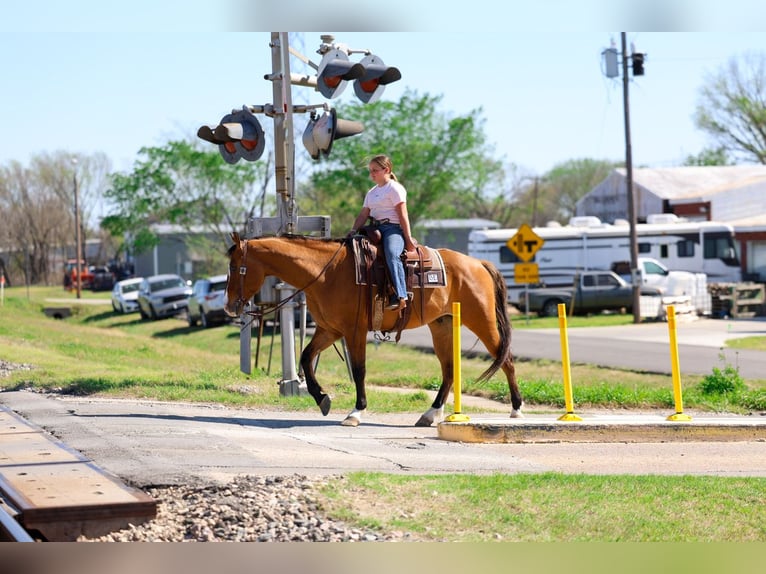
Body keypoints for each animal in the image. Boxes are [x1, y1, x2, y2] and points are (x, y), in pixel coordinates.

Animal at [224, 232, 523, 427]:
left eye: (235, 266)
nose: (228, 307)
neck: (325, 272)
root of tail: (478, 263)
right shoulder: (329, 330)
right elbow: (306, 358)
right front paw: (322, 399)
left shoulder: (353, 331)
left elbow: (359, 370)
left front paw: (356, 412)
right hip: (442, 327)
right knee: (449, 371)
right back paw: (430, 414)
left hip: (482, 320)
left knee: (506, 359)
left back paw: (517, 410)